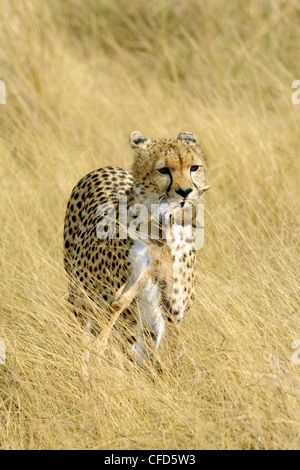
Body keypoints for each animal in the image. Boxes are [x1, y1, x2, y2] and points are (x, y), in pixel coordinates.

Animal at [62, 132, 209, 368]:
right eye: (163, 170)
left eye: (194, 167)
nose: (185, 192)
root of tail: (107, 167)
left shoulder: (170, 314)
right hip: (81, 293)